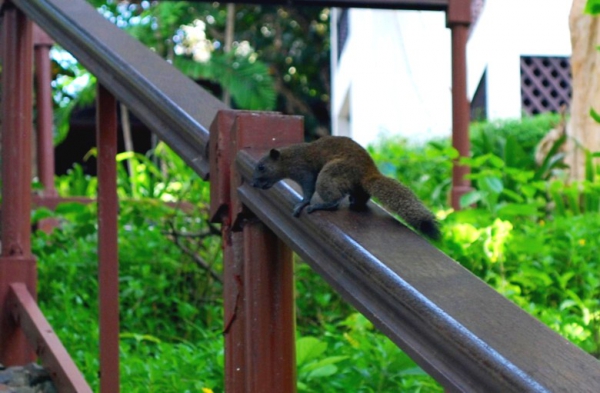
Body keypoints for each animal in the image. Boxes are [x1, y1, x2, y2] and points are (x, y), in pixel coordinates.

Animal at [248, 135, 440, 239]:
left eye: (261, 167)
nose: (253, 183)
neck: (288, 159)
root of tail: (368, 172)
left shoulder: (304, 171)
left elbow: (308, 190)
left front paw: (302, 204)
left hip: (331, 173)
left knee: (334, 201)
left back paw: (322, 205)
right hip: (353, 184)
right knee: (361, 196)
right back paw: (355, 203)